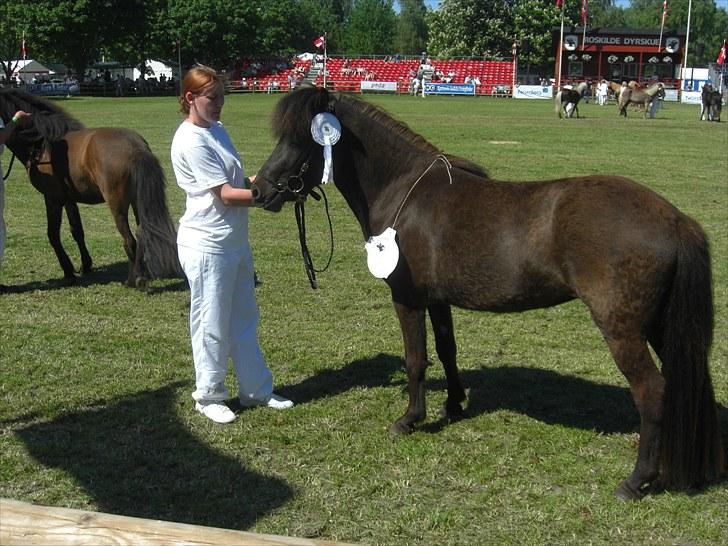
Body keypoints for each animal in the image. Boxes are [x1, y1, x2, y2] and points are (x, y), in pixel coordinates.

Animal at [0, 87, 182, 286]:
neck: (42, 143)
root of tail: (137, 148)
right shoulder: (68, 199)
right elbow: (77, 230)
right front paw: (85, 265)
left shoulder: (52, 198)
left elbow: (53, 234)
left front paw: (68, 271)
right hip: (138, 203)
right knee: (141, 234)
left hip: (117, 206)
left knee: (130, 240)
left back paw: (133, 279)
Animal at [250, 85, 724, 498]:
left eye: (299, 140)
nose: (258, 189)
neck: (404, 192)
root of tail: (676, 219)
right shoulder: (437, 299)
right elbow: (447, 350)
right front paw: (454, 405)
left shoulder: (407, 298)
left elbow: (415, 358)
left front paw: (410, 419)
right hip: (661, 325)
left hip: (622, 328)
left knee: (653, 392)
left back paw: (635, 481)